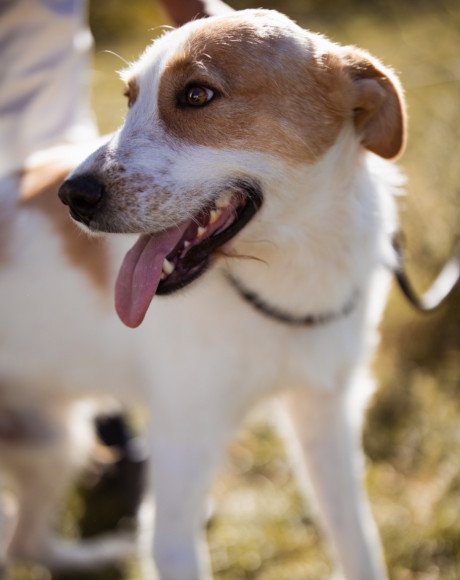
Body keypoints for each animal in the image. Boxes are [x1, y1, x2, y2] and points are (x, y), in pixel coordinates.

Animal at [1, 8, 410, 579]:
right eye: (130, 98)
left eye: (197, 95)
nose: (72, 196)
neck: (293, 270)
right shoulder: (180, 456)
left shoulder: (326, 414)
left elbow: (359, 543)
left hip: (54, 442)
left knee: (24, 541)